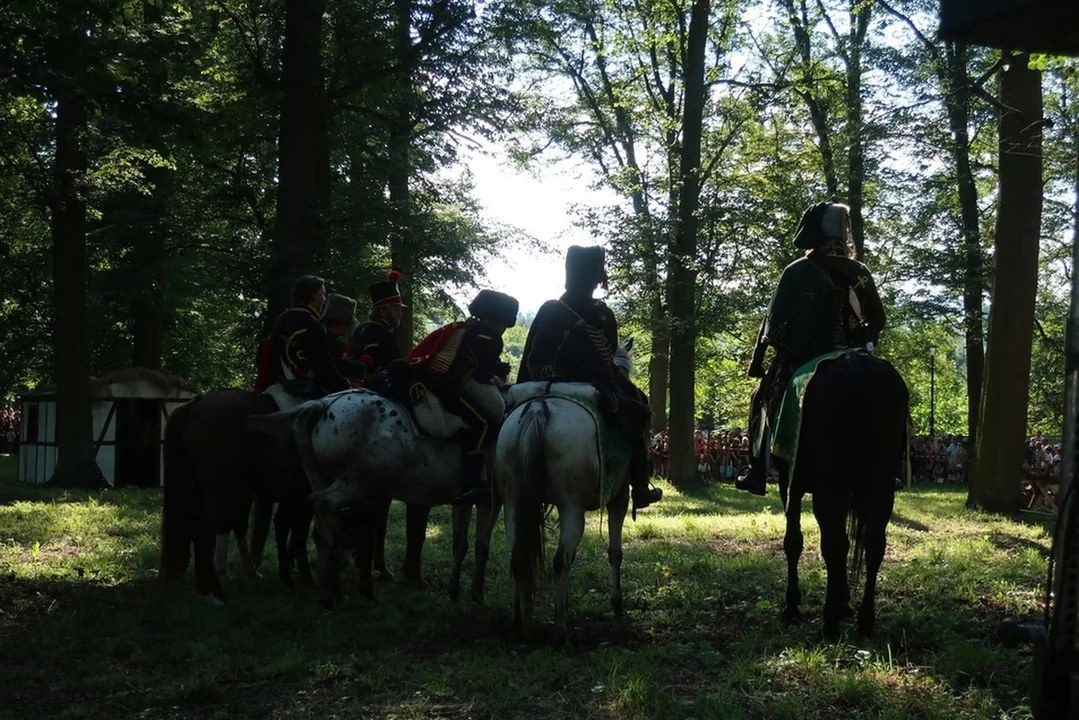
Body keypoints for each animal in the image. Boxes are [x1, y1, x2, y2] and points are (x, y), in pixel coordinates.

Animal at [157, 388, 315, 604]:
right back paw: (211, 592)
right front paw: (304, 577)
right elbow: (298, 531)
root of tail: (197, 404)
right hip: (226, 493)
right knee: (205, 530)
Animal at [479, 341, 643, 639]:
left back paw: (519, 621)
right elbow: (615, 552)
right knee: (560, 561)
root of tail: (539, 407)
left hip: (514, 504)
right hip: (572, 509)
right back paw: (560, 626)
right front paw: (616, 605)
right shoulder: (619, 500)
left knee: (519, 555)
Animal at [776, 349, 910, 634]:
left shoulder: (789, 482)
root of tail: (857, 367)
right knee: (873, 544)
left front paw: (793, 604)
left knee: (833, 543)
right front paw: (844, 600)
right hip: (879, 485)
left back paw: (830, 622)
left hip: (829, 486)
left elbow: (794, 541)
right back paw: (865, 619)